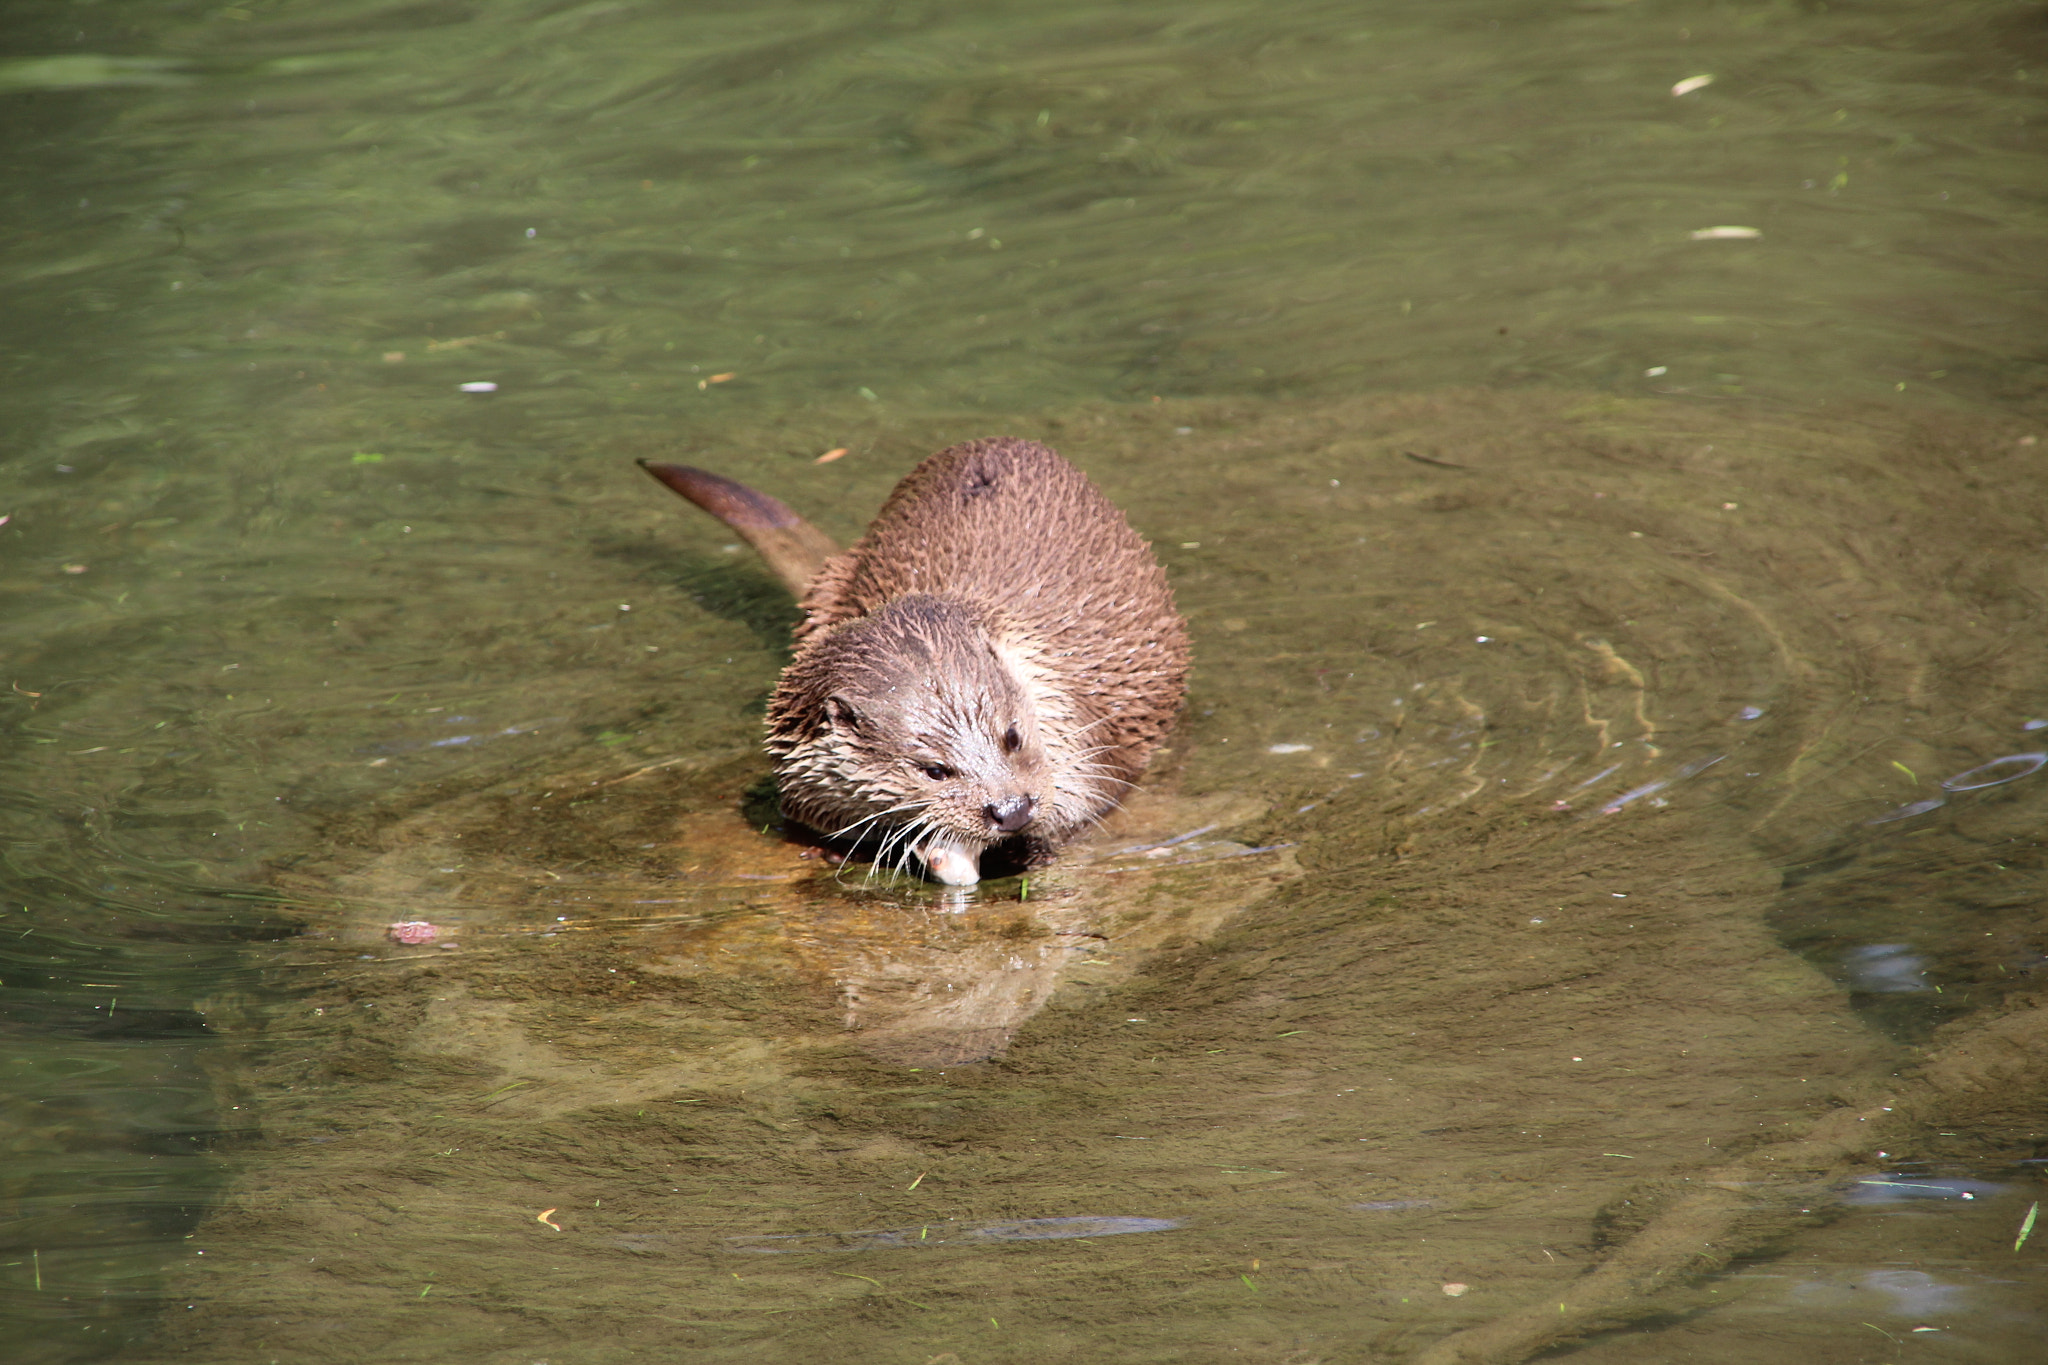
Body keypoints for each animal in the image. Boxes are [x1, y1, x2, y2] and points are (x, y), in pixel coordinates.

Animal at [638, 437, 1187, 888]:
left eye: (1013, 737)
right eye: (934, 770)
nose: (1011, 810)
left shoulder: (1072, 720)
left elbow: (1087, 796)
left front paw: (1033, 846)